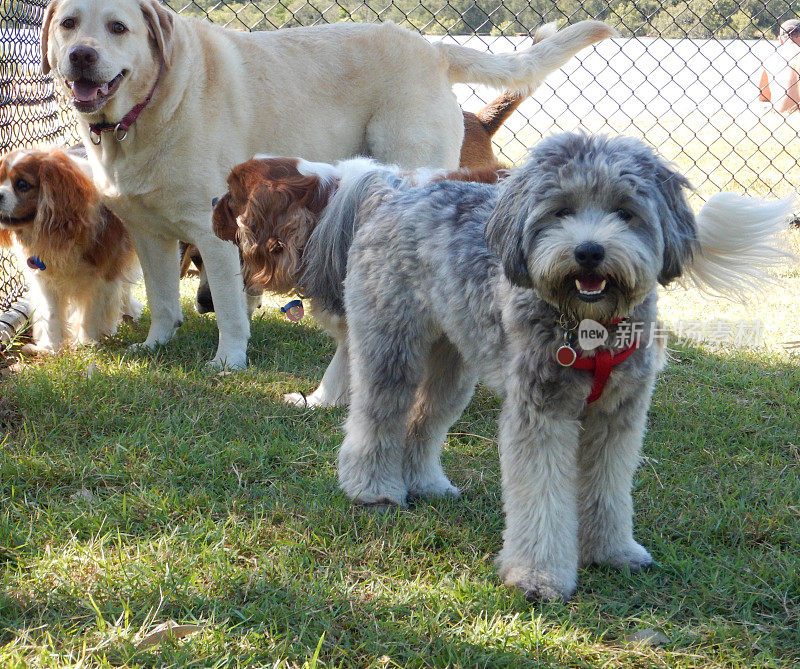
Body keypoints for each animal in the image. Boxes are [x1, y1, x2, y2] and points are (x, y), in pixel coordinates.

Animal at [0, 148, 141, 352]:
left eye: (22, 184)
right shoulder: (46, 278)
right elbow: (51, 314)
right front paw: (50, 347)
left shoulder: (103, 274)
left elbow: (91, 311)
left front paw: (87, 341)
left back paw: (129, 311)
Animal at [302, 132, 792, 600]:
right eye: (561, 210)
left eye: (625, 211)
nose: (589, 251)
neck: (589, 327)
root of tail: (396, 191)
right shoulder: (541, 414)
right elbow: (541, 499)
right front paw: (538, 576)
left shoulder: (617, 418)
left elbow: (609, 490)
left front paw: (613, 552)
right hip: (391, 347)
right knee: (378, 415)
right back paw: (373, 488)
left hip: (453, 365)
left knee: (424, 421)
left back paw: (426, 484)